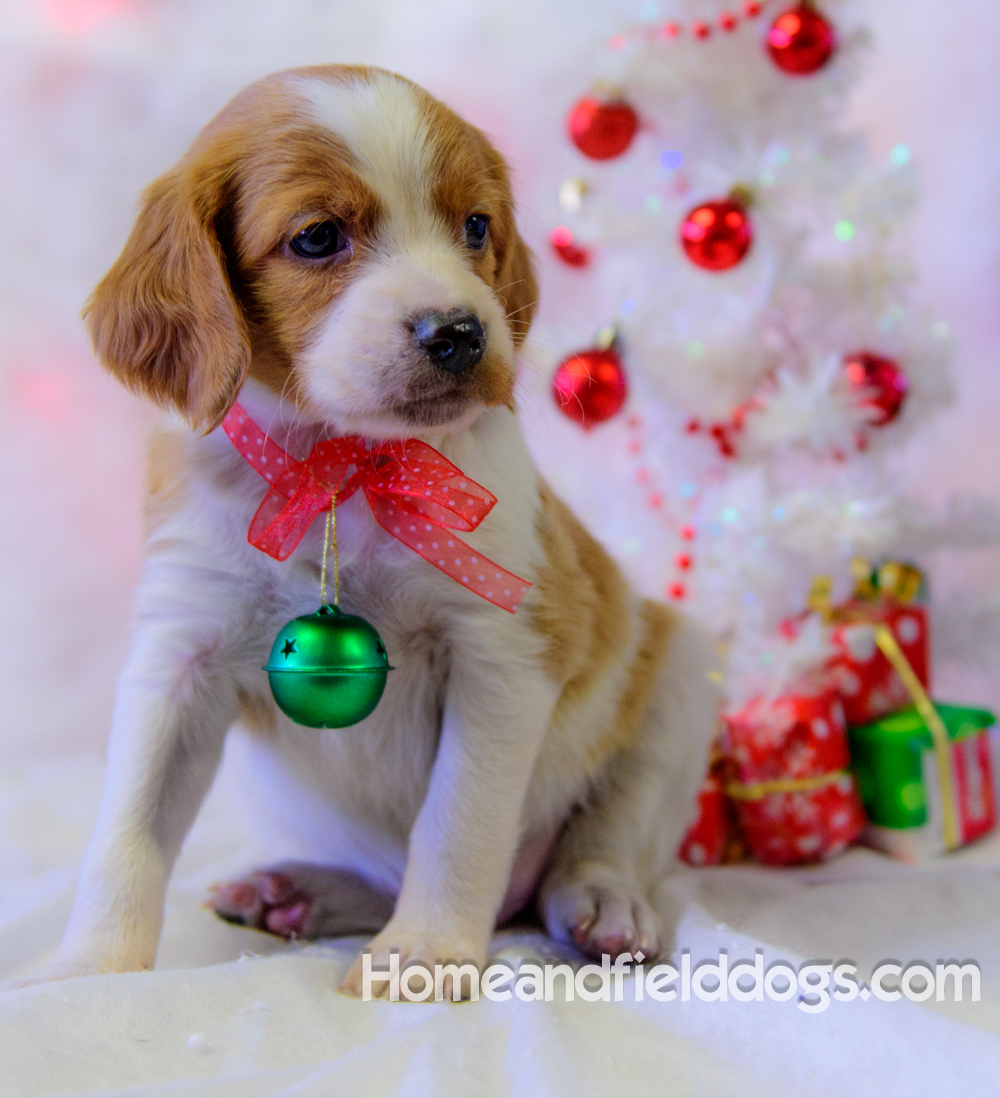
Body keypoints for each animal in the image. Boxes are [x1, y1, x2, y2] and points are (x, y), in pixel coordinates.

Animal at [31, 66, 720, 996]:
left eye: (476, 226)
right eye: (319, 237)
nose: (459, 332)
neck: (342, 470)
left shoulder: (500, 654)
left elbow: (457, 820)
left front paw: (424, 953)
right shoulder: (178, 654)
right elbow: (128, 830)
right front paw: (89, 968)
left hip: (678, 671)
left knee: (605, 831)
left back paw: (601, 900)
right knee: (381, 872)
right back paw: (302, 894)